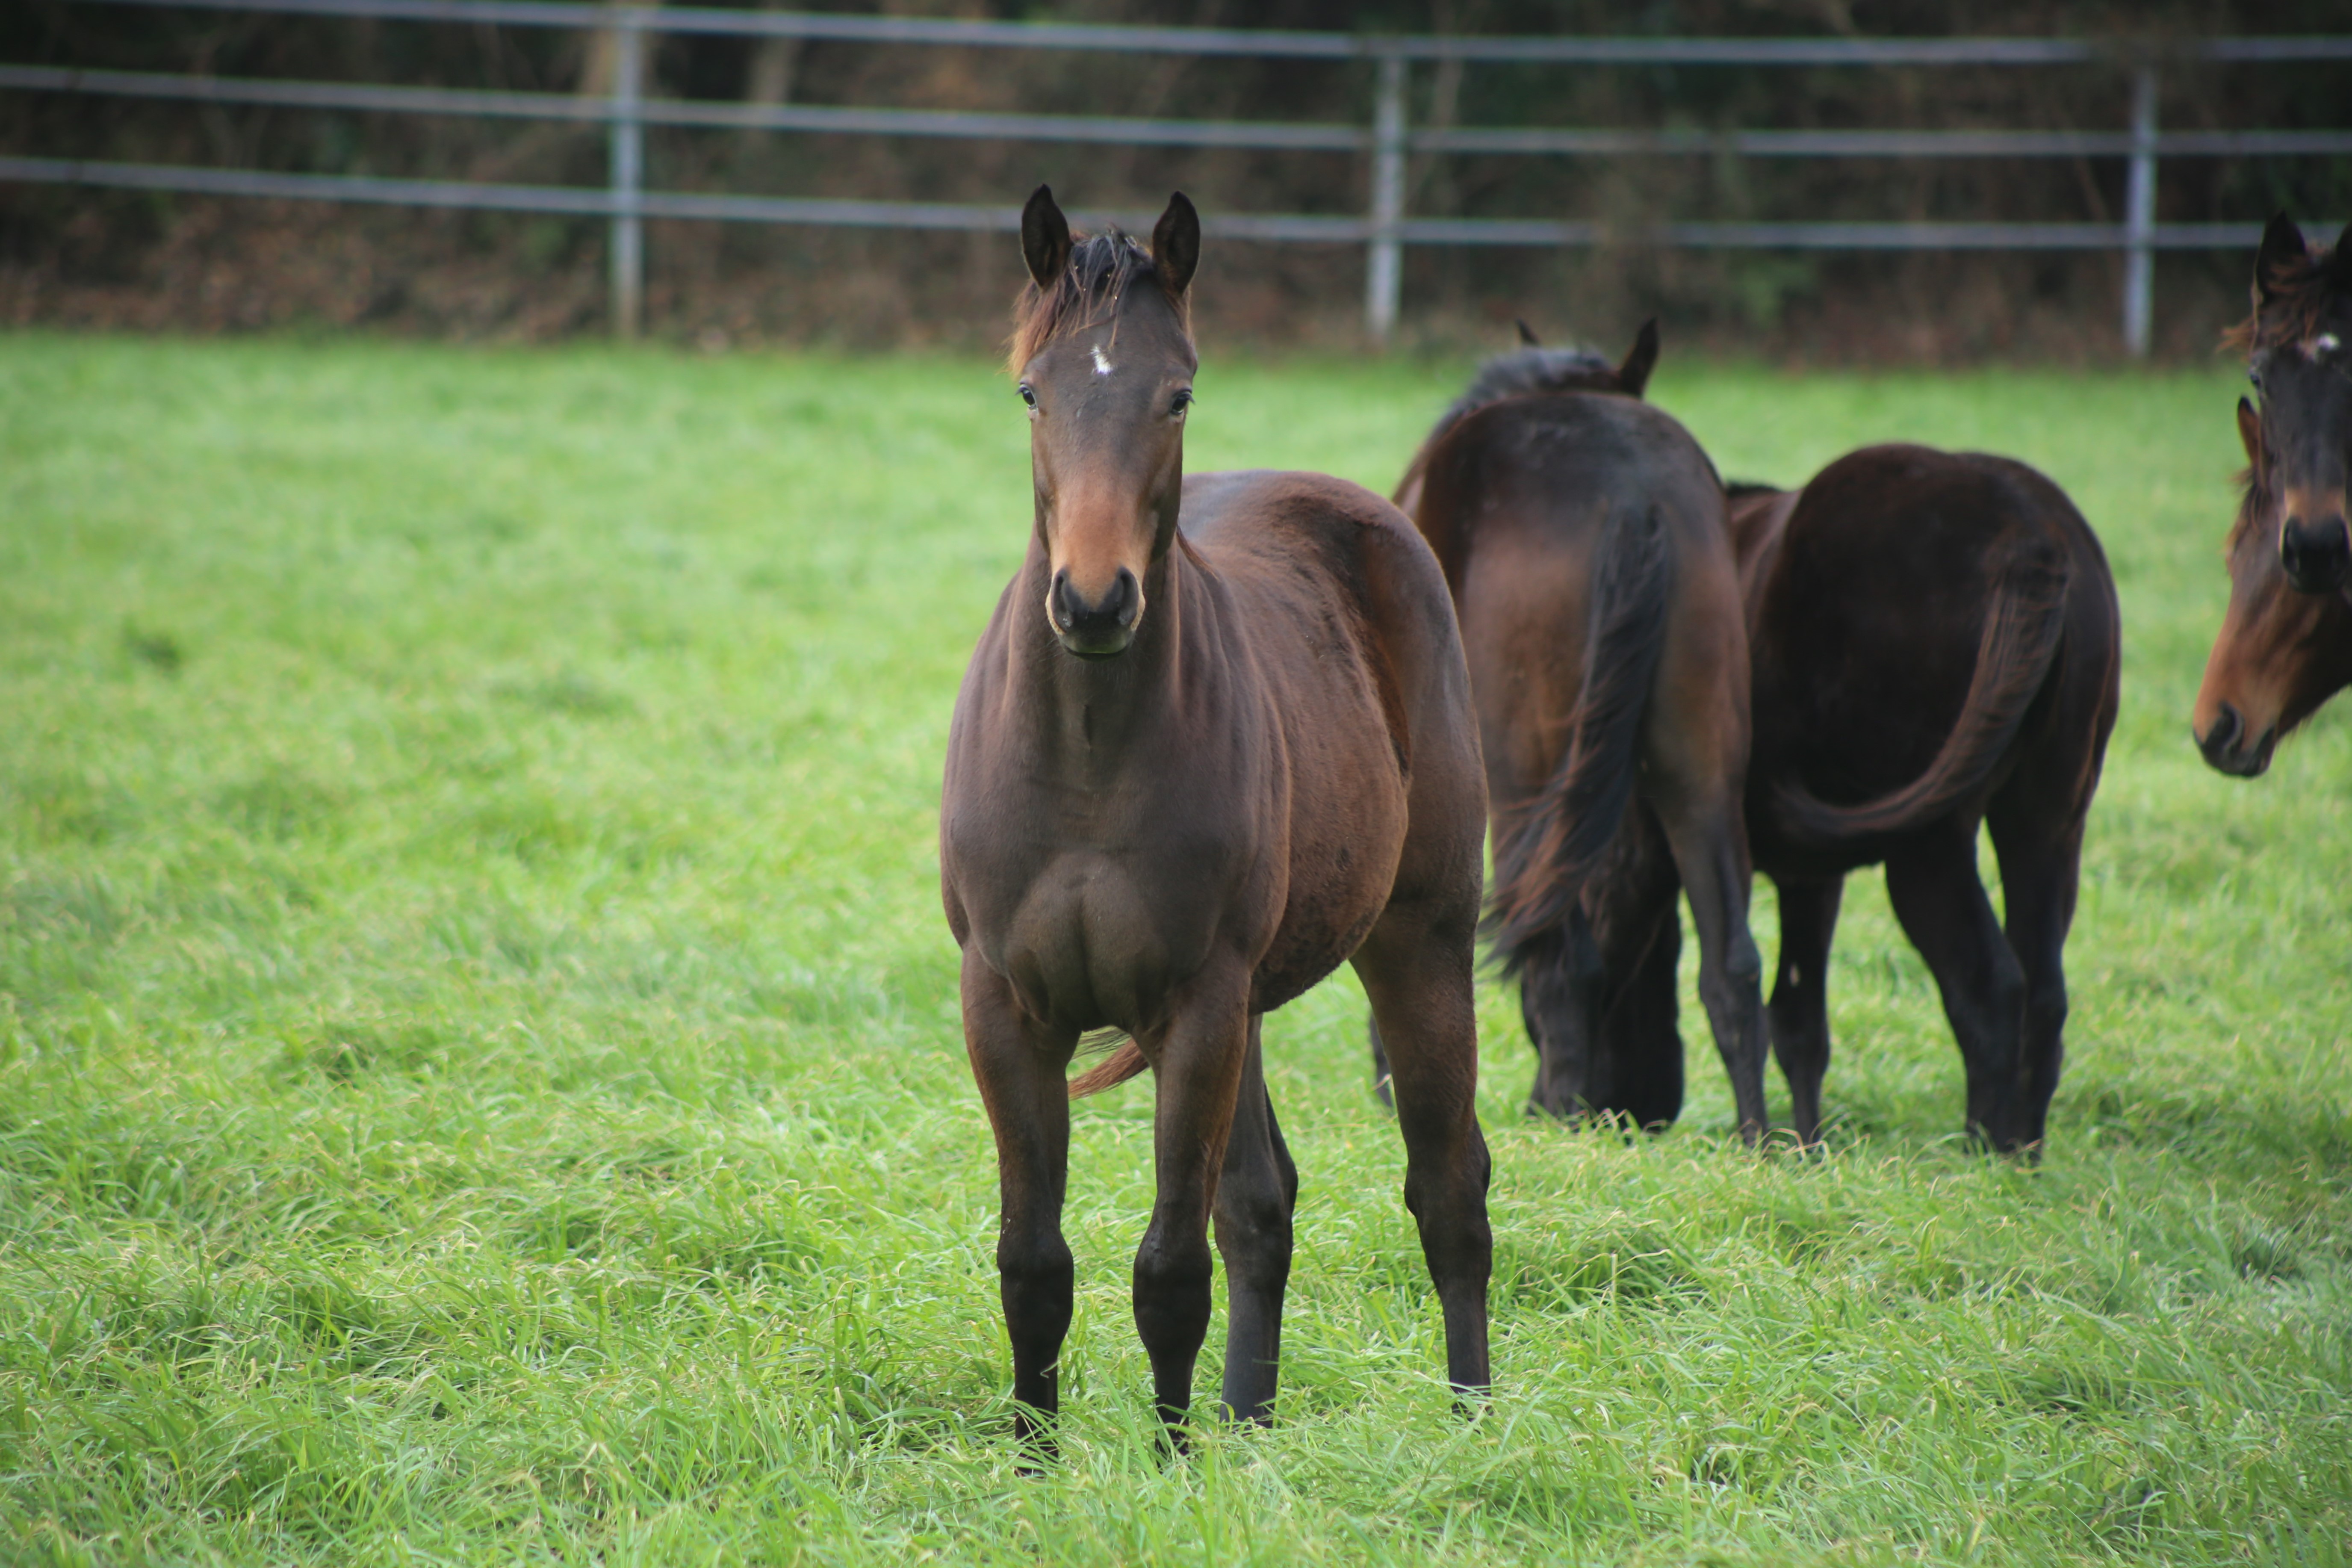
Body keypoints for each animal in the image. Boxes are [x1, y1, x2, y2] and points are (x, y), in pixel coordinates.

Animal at [936, 190, 1486, 1457]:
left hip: (1417, 945)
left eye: (1174, 393)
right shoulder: (1005, 1005)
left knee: (1448, 1186)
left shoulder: (1193, 1007)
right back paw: (1250, 1418)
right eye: (1031, 391)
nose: (1093, 601)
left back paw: (1474, 1422)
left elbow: (1169, 1268)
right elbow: (1033, 1263)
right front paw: (1034, 1465)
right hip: (1255, 1007)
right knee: (1262, 1203)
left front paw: (1173, 1462)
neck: (1087, 766)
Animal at [1373, 329, 1768, 1142]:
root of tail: (1633, 492)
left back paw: (1554, 1113)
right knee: (1733, 961)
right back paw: (1767, 1141)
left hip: (1523, 776)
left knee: (1562, 953)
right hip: (1700, 770)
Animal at [1740, 446, 2126, 1147]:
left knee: (1991, 984)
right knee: (2043, 989)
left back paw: (1977, 1152)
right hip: (2049, 815)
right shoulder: (1808, 877)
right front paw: (1807, 1150)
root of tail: (2030, 535)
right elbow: (1796, 1016)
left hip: (1929, 840)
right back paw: (2021, 1149)